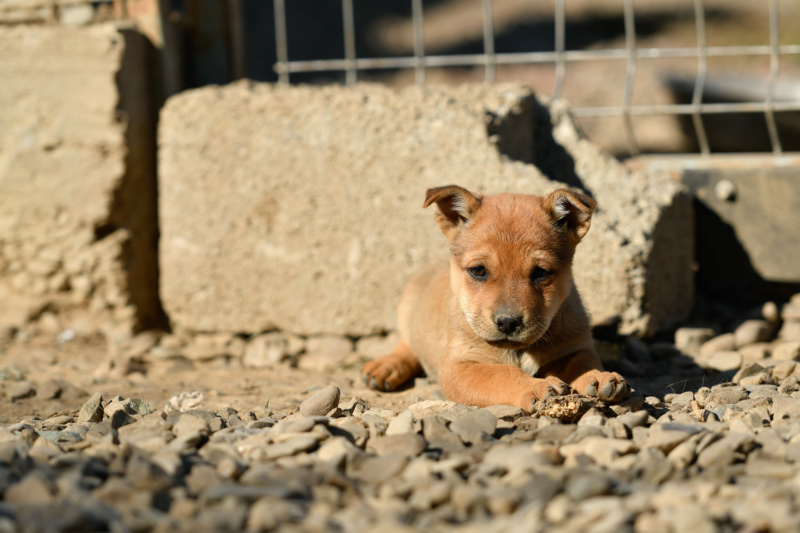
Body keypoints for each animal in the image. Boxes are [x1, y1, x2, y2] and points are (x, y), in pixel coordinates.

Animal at [362, 184, 632, 412]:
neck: (521, 351)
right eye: (478, 270)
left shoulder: (574, 346)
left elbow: (581, 362)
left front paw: (598, 377)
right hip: (407, 308)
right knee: (405, 344)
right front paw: (536, 386)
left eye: (541, 272)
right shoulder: (459, 367)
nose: (508, 322)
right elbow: (502, 375)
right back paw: (384, 368)